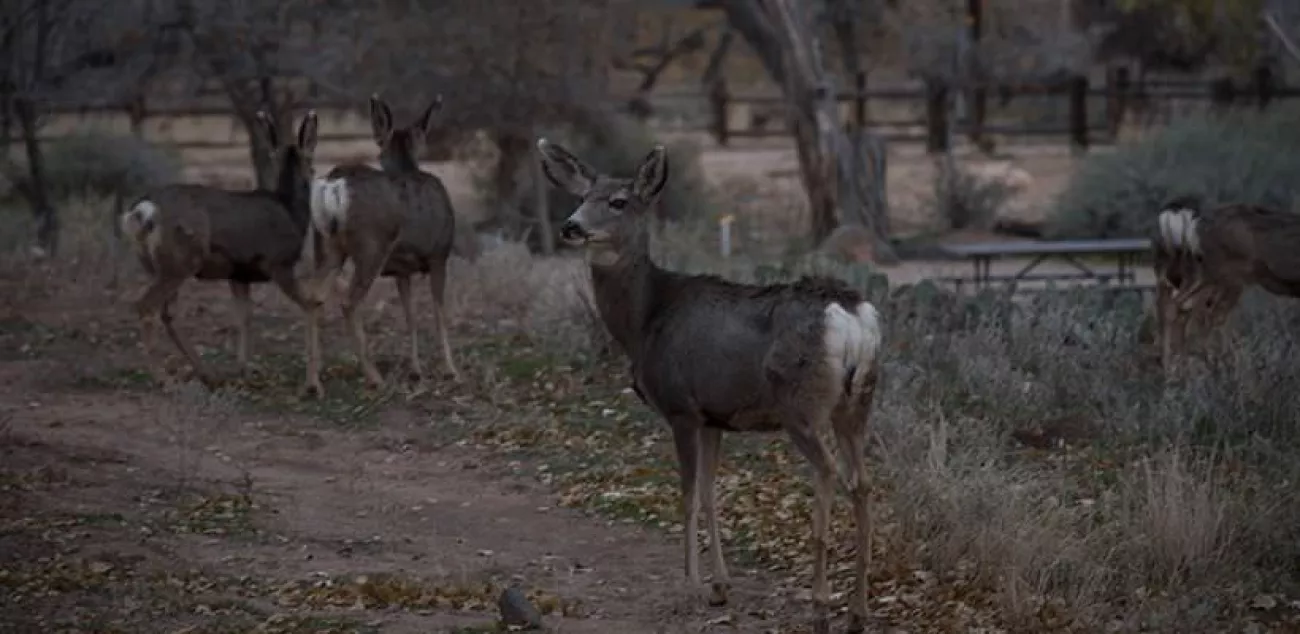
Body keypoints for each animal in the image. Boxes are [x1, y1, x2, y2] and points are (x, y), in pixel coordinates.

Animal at [308, 94, 460, 387]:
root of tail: (334, 184)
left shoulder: (403, 271)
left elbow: (410, 317)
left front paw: (416, 370)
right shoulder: (439, 255)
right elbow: (440, 314)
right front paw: (450, 370)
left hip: (329, 246)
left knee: (314, 298)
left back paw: (313, 382)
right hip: (371, 247)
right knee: (348, 303)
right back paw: (373, 377)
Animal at [535, 139, 883, 634]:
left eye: (618, 201)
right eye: (581, 197)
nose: (571, 226)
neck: (644, 320)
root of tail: (851, 315)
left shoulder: (680, 407)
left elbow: (686, 497)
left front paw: (690, 588)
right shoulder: (714, 417)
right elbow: (710, 492)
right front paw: (720, 587)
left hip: (802, 405)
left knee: (829, 471)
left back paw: (819, 605)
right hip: (856, 404)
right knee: (863, 483)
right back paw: (857, 611)